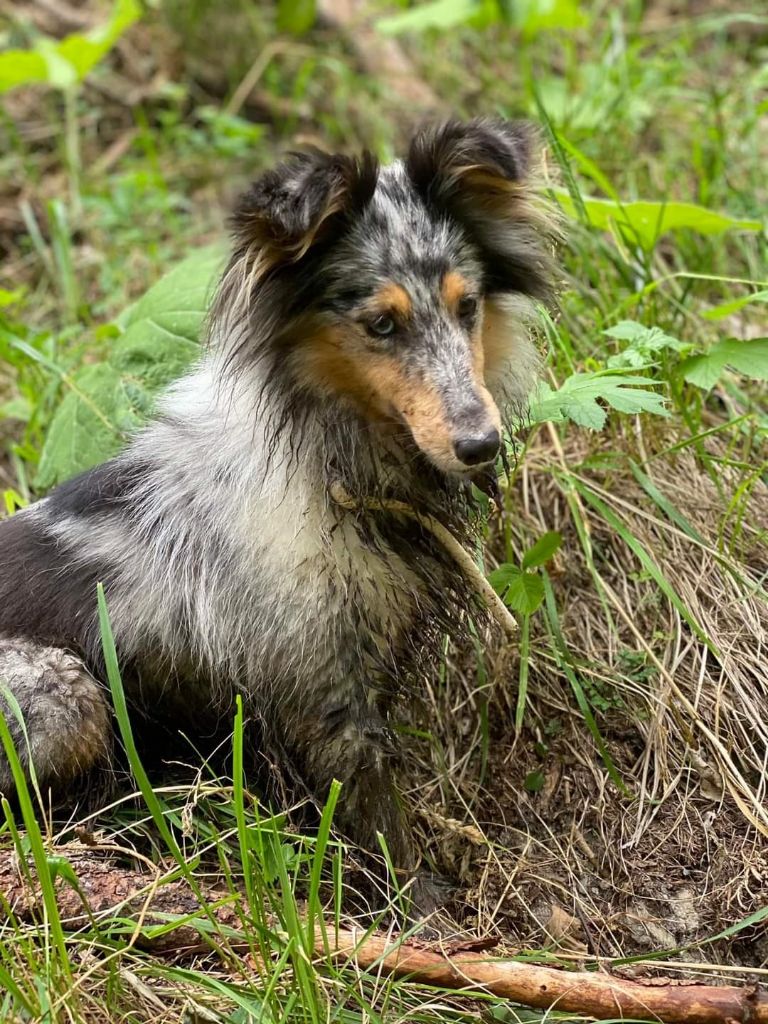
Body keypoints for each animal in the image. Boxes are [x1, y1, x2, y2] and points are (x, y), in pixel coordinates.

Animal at [0, 117, 552, 888]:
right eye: (381, 325)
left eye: (467, 306)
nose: (481, 444)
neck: (329, 461)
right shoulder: (324, 689)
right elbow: (379, 817)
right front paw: (417, 903)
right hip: (65, 694)